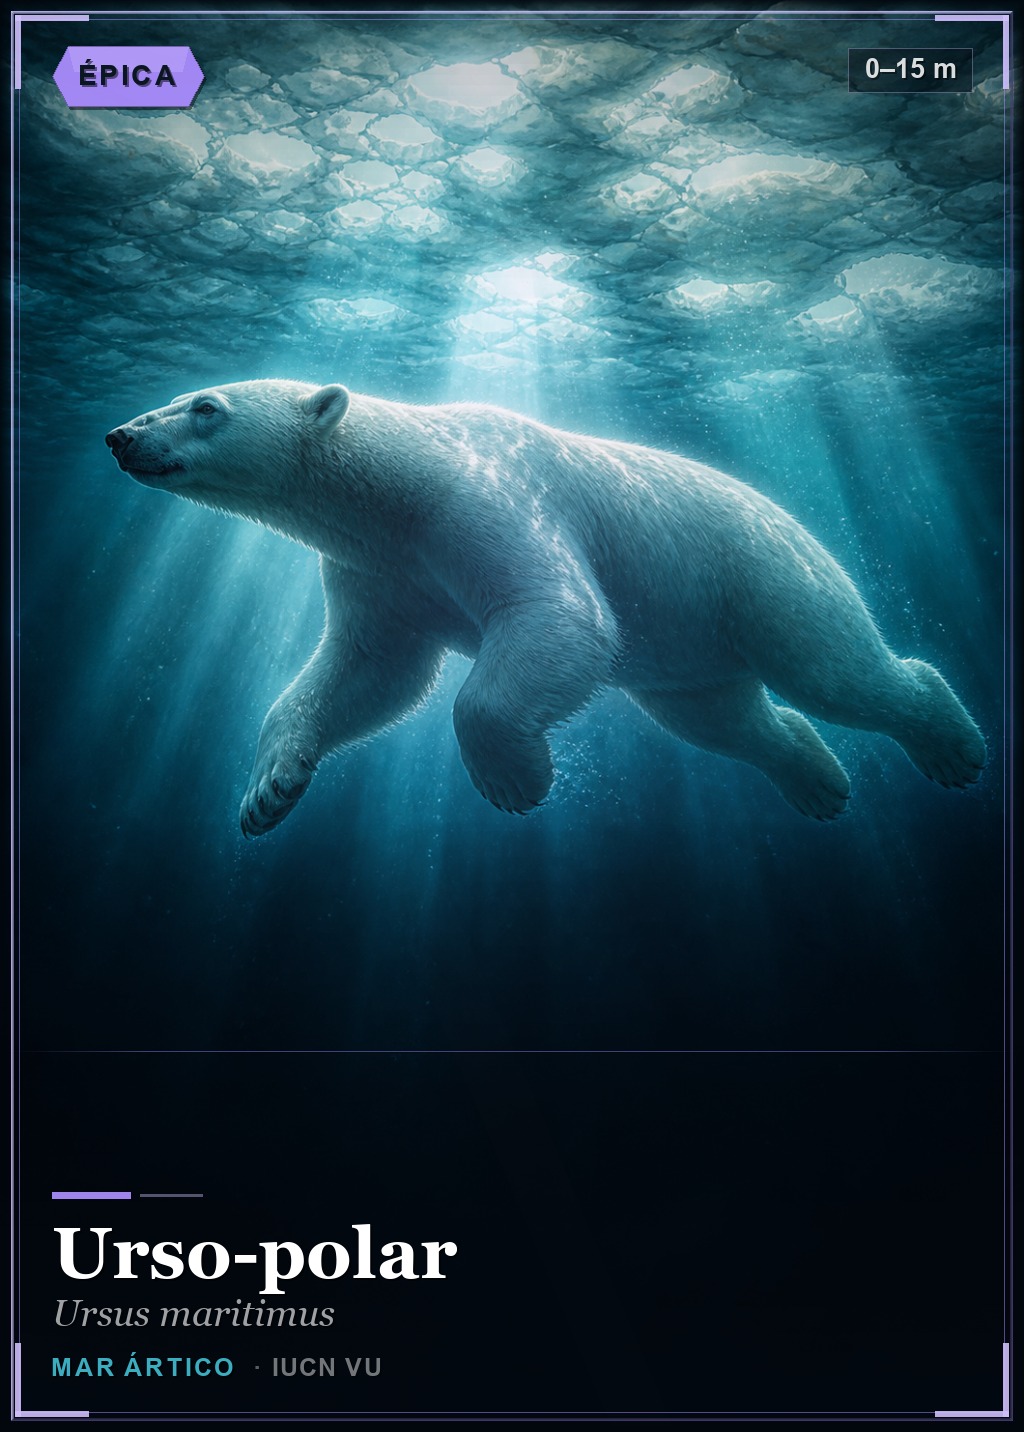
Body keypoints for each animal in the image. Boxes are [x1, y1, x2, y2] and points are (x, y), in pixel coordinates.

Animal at [105, 380, 986, 837]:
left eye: (205, 406)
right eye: (177, 396)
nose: (121, 435)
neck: (401, 485)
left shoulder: (482, 502)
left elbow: (555, 616)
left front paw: (514, 780)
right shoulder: (380, 570)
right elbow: (369, 673)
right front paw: (269, 791)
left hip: (760, 574)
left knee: (835, 671)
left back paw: (953, 747)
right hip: (690, 637)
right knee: (722, 718)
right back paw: (817, 784)